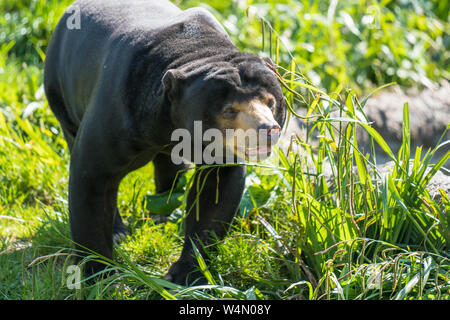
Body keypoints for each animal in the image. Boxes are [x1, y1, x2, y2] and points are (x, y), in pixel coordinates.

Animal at [44, 0, 286, 284]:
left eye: (271, 102)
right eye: (228, 110)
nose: (268, 129)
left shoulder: (220, 154)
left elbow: (215, 195)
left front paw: (186, 274)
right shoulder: (116, 111)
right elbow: (91, 179)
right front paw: (99, 274)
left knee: (170, 165)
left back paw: (161, 215)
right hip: (61, 96)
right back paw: (119, 232)